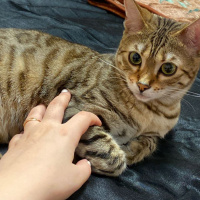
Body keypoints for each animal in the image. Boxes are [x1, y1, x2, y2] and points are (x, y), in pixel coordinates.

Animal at [0, 0, 199, 176]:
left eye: (168, 68)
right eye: (135, 58)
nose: (142, 85)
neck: (153, 112)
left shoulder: (156, 132)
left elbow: (151, 142)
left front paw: (134, 148)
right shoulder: (77, 108)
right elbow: (112, 157)